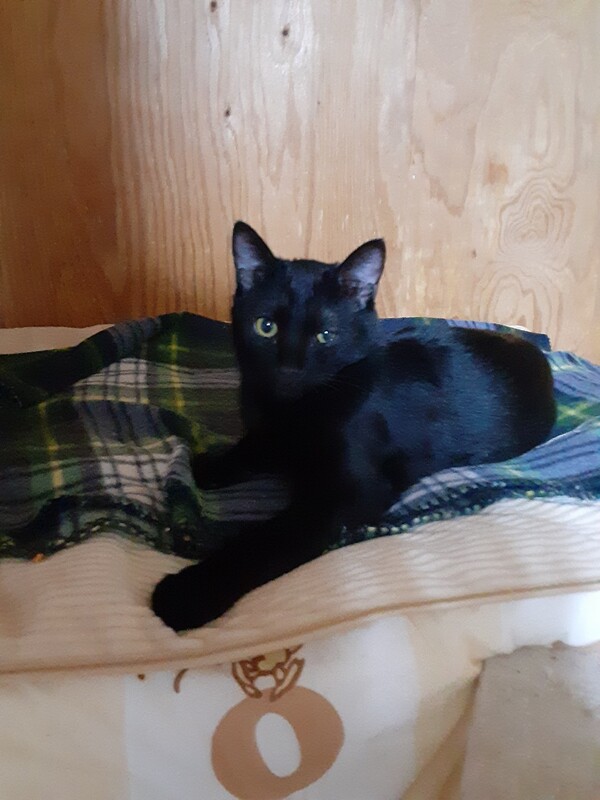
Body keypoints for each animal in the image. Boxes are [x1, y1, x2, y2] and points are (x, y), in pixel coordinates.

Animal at [151, 221, 556, 631]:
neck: (292, 411)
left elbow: (266, 539)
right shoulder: (266, 432)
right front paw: (210, 465)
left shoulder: (350, 495)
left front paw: (188, 593)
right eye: (265, 327)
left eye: (325, 335)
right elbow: (251, 447)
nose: (289, 370)